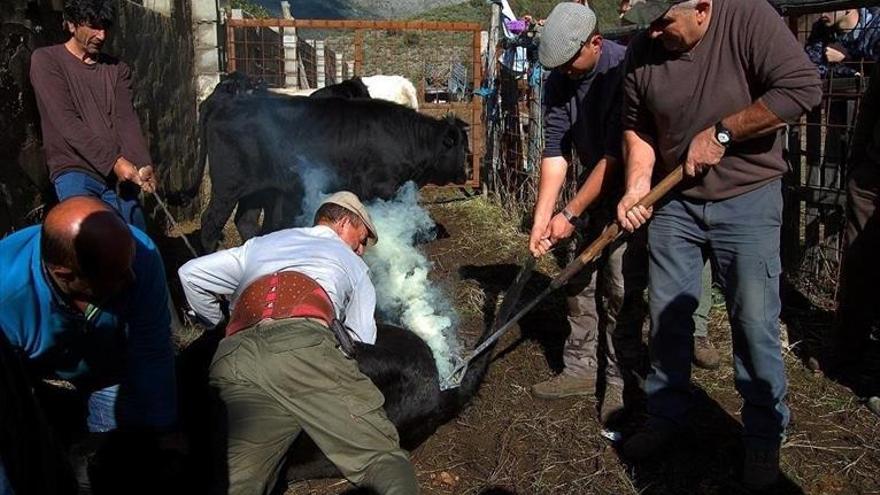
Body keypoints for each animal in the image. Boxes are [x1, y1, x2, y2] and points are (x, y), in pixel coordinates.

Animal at [183, 80, 468, 256]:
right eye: (463, 149)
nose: (466, 174)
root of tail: (223, 102)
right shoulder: (383, 187)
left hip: (256, 190)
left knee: (246, 221)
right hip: (228, 185)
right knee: (210, 222)